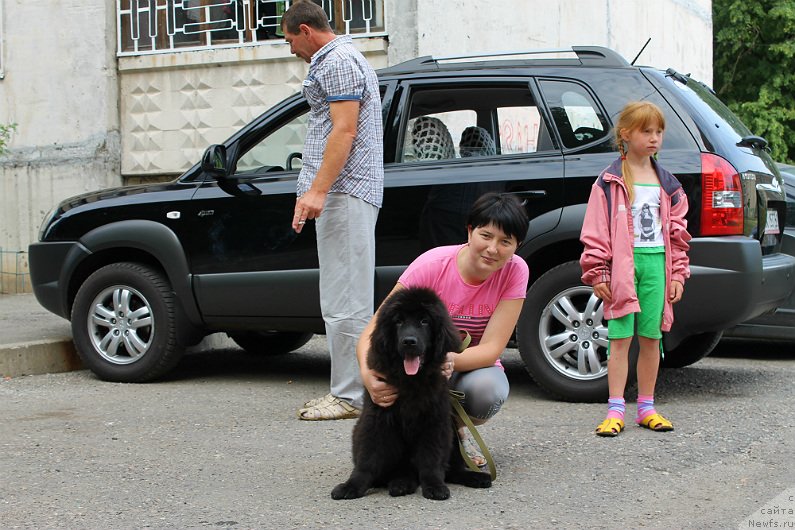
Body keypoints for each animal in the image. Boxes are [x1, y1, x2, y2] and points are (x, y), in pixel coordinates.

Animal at [330, 286, 492, 498]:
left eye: (424, 321)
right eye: (398, 321)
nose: (409, 341)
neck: (410, 381)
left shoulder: (434, 421)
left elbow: (431, 459)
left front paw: (434, 486)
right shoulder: (377, 418)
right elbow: (367, 459)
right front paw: (351, 486)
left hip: (452, 436)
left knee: (452, 470)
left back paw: (476, 477)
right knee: (399, 471)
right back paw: (401, 484)